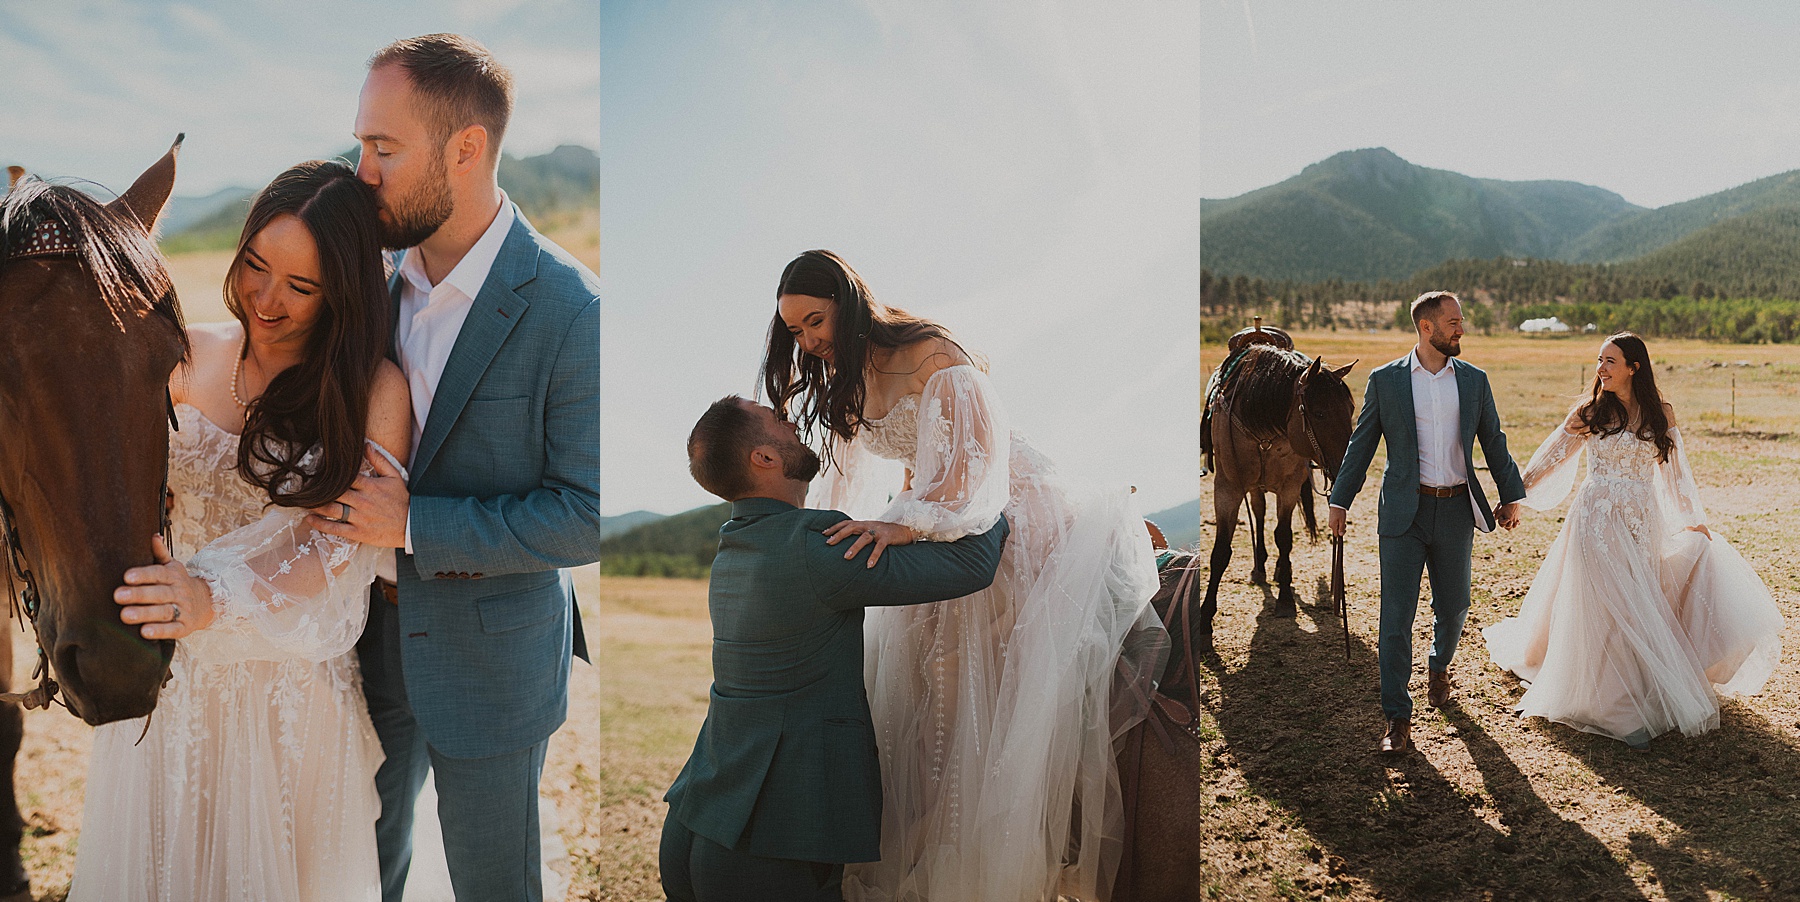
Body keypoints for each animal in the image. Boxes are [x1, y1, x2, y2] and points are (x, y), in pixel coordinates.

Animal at [1202, 342, 1353, 655]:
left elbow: (1284, 537)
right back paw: (1260, 567)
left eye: (1351, 409)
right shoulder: (1227, 488)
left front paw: (1284, 599)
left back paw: (1281, 570)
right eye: (1319, 413)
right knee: (1258, 513)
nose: (1347, 467)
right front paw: (1203, 623)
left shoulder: (1289, 488)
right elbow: (1220, 552)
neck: (1263, 427)